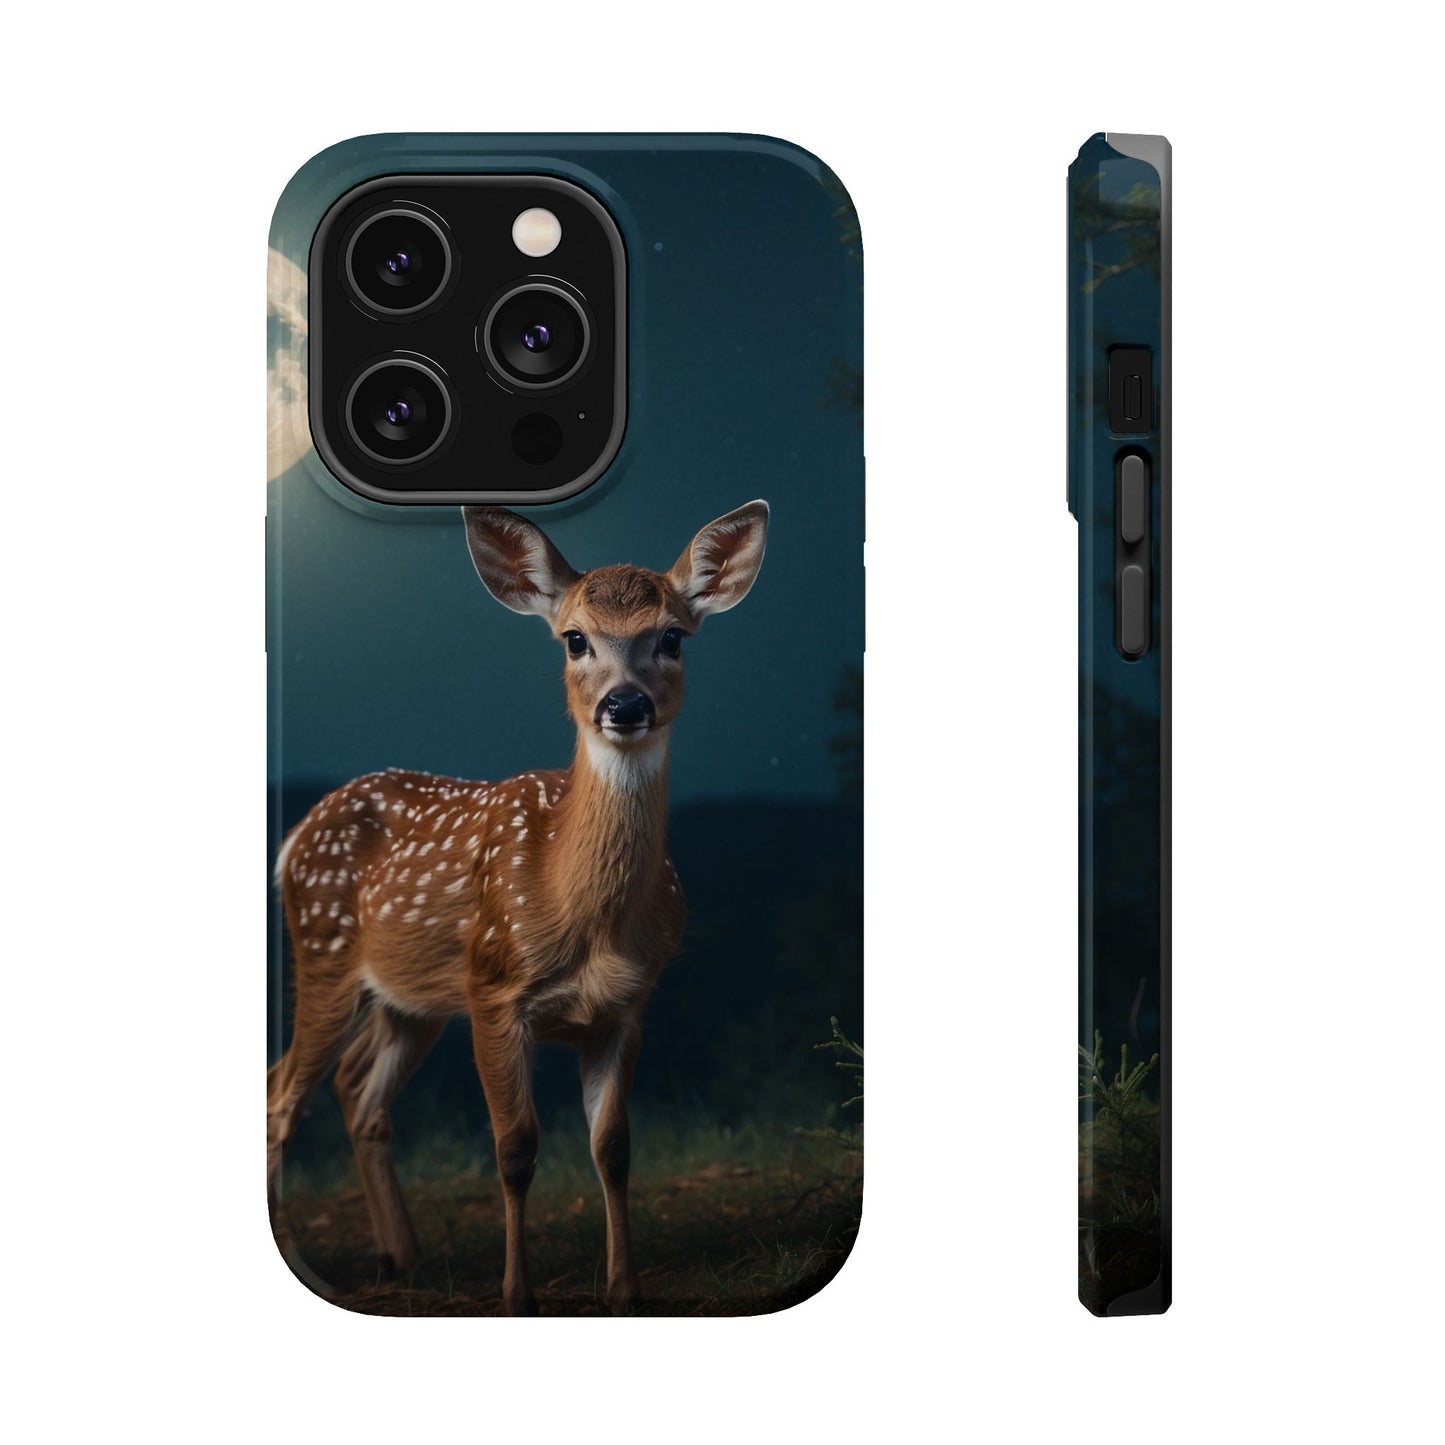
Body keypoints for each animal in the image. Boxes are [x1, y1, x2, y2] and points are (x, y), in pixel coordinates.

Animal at [267, 500, 769, 1315]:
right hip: (325, 955)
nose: (623, 704)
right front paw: (518, 1294)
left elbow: (613, 1147)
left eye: (671, 637)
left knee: (355, 1089)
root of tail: (294, 838)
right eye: (574, 638)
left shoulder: (626, 1006)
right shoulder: (494, 990)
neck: (582, 914)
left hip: (412, 998)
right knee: (283, 1091)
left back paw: (401, 1256)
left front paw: (624, 1289)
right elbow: (514, 1147)